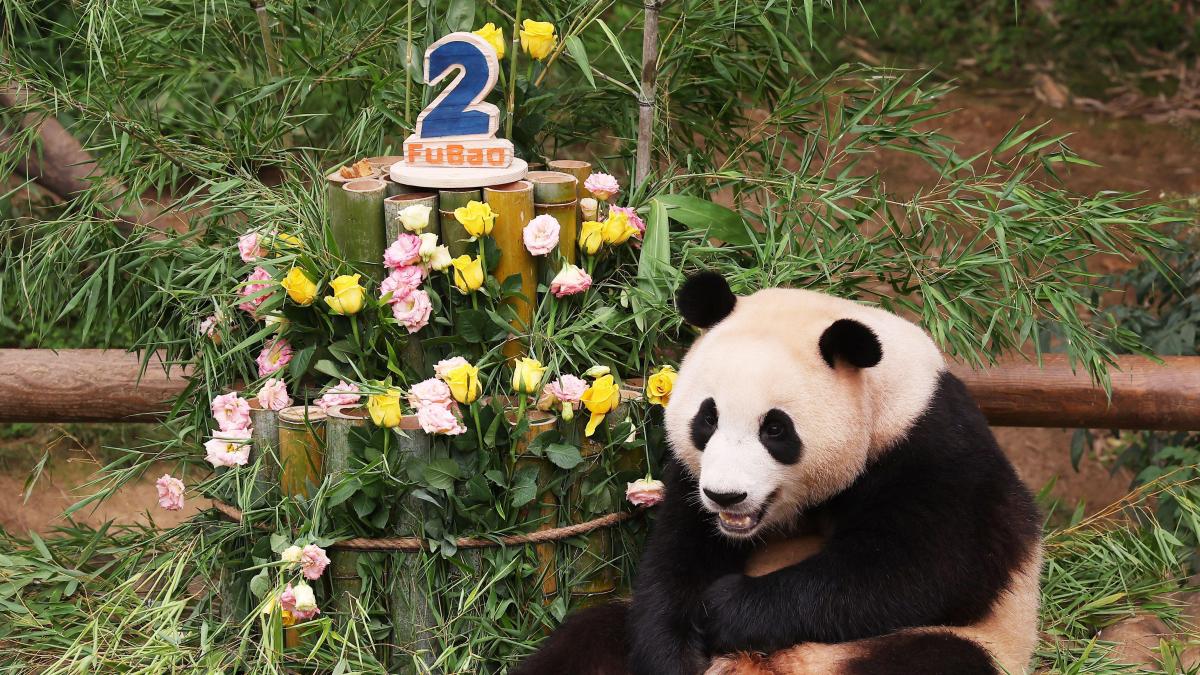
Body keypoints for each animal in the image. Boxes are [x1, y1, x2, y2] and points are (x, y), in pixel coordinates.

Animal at [515, 272, 1042, 675]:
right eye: (708, 418)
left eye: (775, 429)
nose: (726, 496)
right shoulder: (691, 479)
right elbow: (675, 562)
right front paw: (676, 654)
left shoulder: (933, 447)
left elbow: (925, 567)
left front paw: (727, 608)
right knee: (591, 636)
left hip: (957, 644)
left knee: (934, 660)